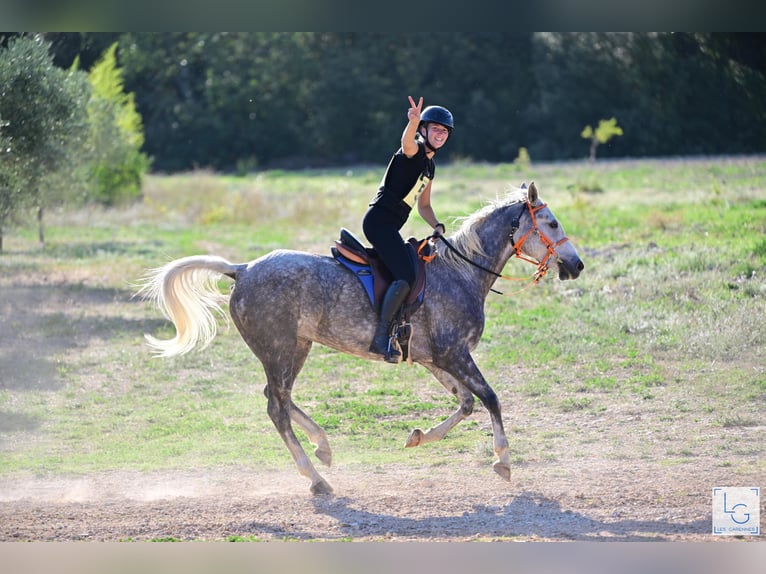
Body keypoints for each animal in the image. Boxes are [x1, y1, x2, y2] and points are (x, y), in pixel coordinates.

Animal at [138, 183, 584, 496]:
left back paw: (322, 447)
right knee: (276, 408)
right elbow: (490, 398)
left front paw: (419, 436)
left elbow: (467, 403)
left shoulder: (435, 358)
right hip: (279, 349)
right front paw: (503, 460)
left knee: (278, 396)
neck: (462, 272)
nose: (576, 264)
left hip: (295, 347)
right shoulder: (454, 354)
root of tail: (242, 269)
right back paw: (316, 478)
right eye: (552, 223)